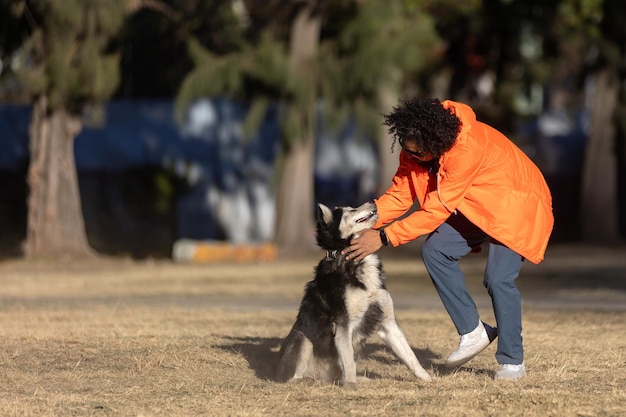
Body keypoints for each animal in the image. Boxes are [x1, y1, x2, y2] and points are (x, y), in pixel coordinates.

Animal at [276, 202, 432, 386]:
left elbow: (410, 355)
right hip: (302, 338)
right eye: (350, 210)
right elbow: (348, 360)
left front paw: (427, 378)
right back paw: (308, 381)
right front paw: (351, 384)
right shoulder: (343, 324)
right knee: (290, 378)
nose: (373, 202)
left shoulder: (387, 322)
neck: (354, 261)